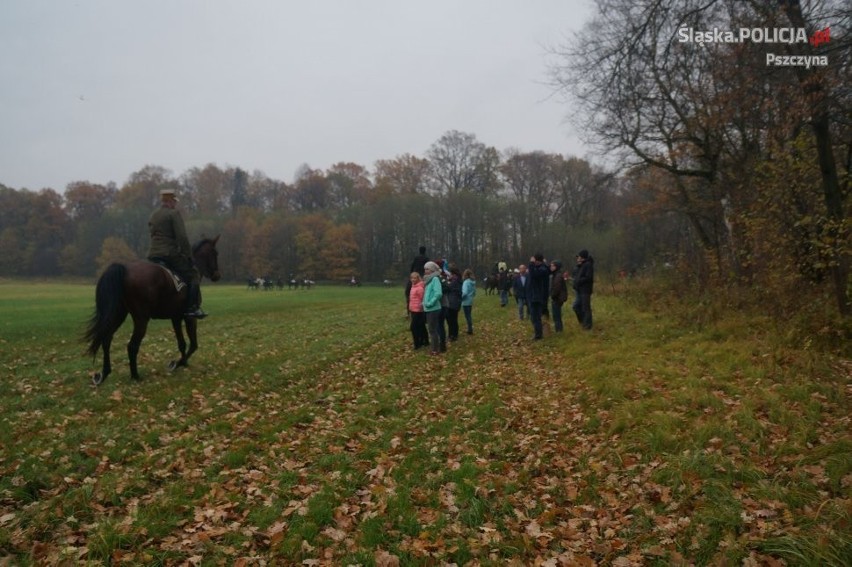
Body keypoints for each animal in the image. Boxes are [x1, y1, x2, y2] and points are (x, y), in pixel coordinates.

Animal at [83, 235, 221, 386]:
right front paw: (178, 363)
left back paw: (104, 374)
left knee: (107, 339)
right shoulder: (190, 318)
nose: (217, 276)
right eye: (215, 253)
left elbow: (182, 343)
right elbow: (194, 345)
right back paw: (135, 376)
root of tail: (125, 269)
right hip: (141, 319)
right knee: (132, 346)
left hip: (118, 314)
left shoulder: (176, 318)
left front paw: (182, 363)